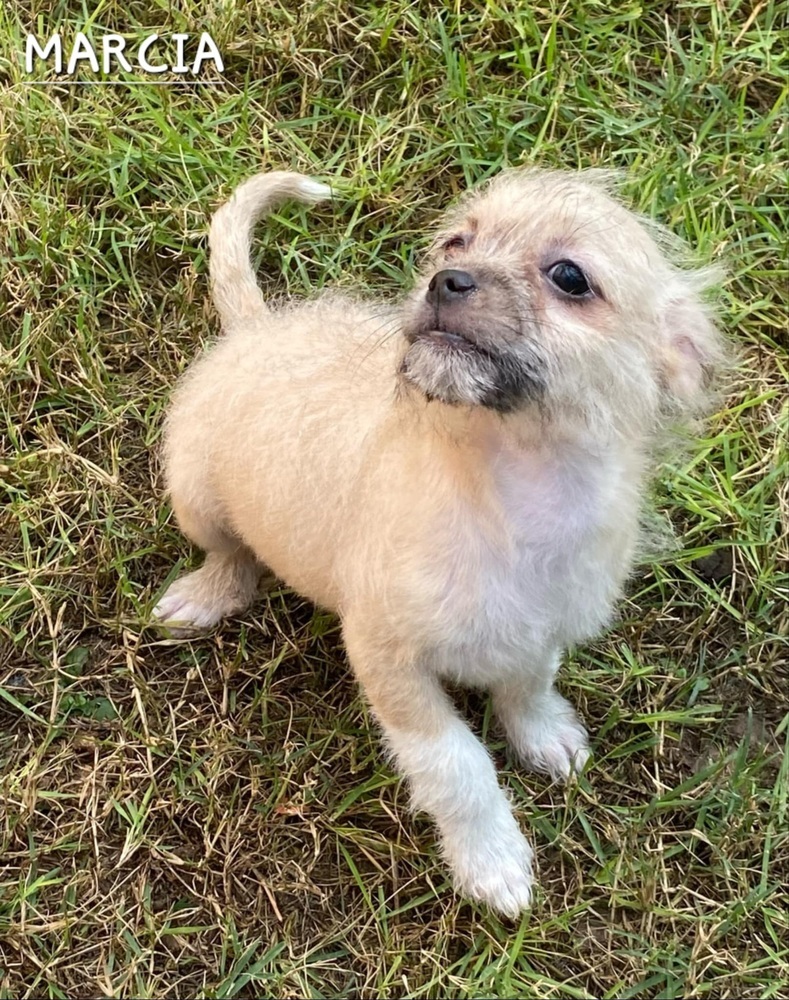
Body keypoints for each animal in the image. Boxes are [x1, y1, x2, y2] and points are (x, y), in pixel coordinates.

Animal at [152, 168, 720, 916]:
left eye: (569, 277)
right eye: (457, 242)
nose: (446, 281)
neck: (511, 487)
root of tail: (260, 327)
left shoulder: (542, 630)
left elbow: (529, 686)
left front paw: (543, 735)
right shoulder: (389, 662)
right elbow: (457, 764)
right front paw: (493, 861)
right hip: (196, 492)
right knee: (231, 556)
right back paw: (205, 595)